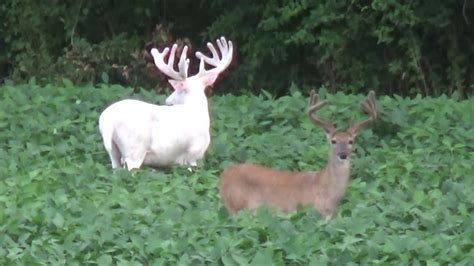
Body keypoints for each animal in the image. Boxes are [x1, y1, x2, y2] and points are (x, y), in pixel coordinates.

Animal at [99, 36, 234, 170]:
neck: (195, 110)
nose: (168, 100)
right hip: (134, 151)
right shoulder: (192, 154)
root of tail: (107, 122)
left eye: (178, 90)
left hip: (114, 152)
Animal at [218, 90, 378, 219]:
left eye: (351, 141)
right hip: (237, 205)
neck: (328, 194)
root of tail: (223, 175)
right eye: (333, 141)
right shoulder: (307, 212)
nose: (343, 154)